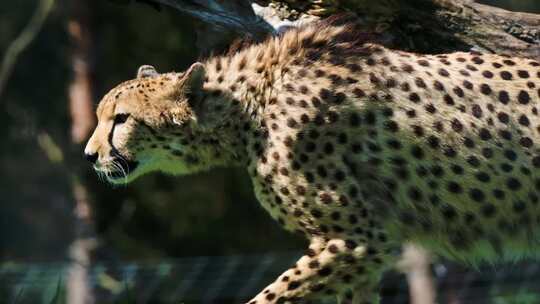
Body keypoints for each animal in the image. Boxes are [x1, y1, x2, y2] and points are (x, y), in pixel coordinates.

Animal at [84, 17, 540, 304]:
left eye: (121, 119)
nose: (89, 155)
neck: (251, 105)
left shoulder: (357, 239)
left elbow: (269, 298)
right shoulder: (359, 253)